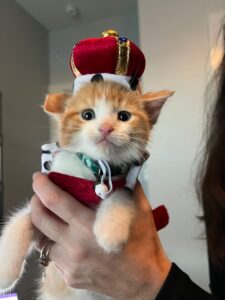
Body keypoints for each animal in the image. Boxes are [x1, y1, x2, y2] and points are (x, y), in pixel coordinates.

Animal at [0, 81, 173, 298]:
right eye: (87, 114)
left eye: (124, 116)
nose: (106, 128)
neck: (95, 169)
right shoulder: (44, 206)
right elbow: (23, 218)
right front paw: (5, 271)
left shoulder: (125, 181)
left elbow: (120, 194)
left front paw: (110, 231)